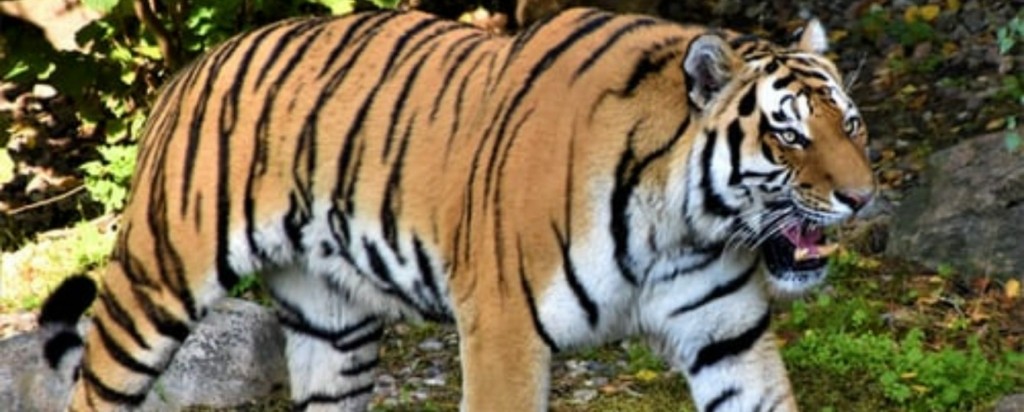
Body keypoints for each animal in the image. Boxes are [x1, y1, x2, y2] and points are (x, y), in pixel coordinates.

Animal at [36, 6, 875, 412]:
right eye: (789, 132)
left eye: (853, 125)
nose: (862, 197)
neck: (684, 224)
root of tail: (189, 69)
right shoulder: (503, 330)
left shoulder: (727, 335)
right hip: (155, 282)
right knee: (93, 390)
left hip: (334, 331)